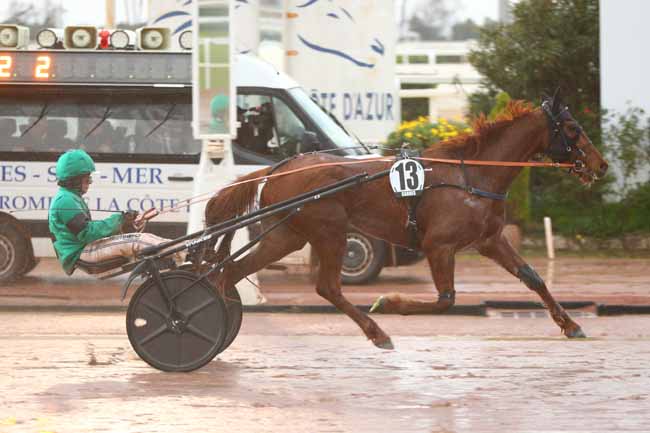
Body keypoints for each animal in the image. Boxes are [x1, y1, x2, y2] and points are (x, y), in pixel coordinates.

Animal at [204, 93, 608, 348]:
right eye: (572, 129)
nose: (601, 164)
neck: (471, 175)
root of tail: (280, 167)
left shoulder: (490, 240)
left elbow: (533, 278)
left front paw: (571, 324)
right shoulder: (439, 245)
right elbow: (445, 300)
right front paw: (389, 302)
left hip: (287, 235)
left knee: (232, 272)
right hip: (329, 231)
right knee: (328, 287)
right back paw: (377, 331)